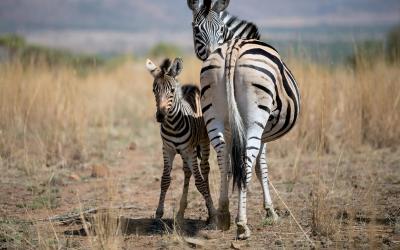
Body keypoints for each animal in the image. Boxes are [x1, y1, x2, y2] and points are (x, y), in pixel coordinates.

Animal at [145, 57, 217, 226]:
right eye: (154, 90)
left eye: (172, 90)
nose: (160, 116)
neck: (172, 125)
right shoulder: (168, 149)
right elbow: (165, 180)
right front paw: (159, 213)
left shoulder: (189, 150)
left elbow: (200, 182)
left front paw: (212, 214)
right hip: (185, 152)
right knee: (187, 171)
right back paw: (180, 213)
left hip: (202, 143)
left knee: (204, 169)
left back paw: (209, 208)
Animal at [188, 0, 300, 239]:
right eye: (196, 29)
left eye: (220, 29)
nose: (209, 52)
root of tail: (234, 48)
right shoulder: (264, 132)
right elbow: (261, 167)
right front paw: (270, 211)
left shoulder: (232, 130)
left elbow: (231, 166)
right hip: (255, 118)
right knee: (247, 160)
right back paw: (242, 224)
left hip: (214, 115)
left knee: (223, 158)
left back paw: (223, 216)